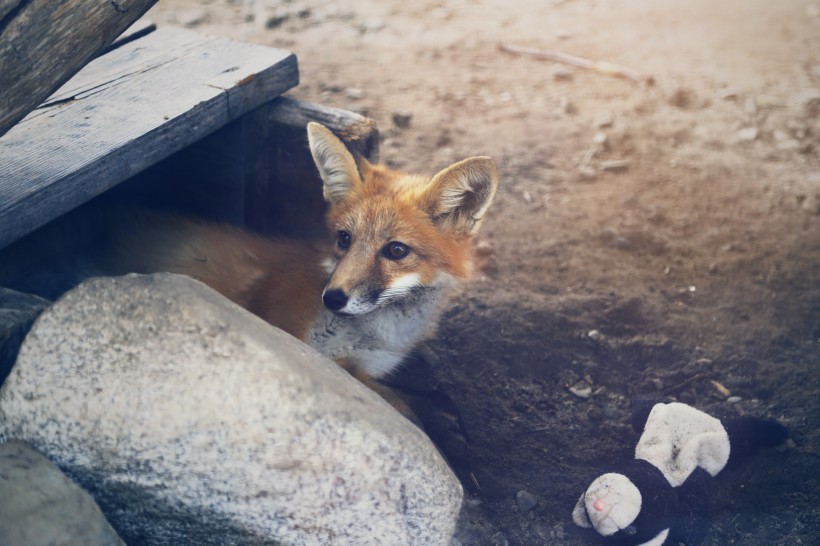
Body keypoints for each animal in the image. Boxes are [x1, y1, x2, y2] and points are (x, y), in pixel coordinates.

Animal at [0, 123, 500, 410]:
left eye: (395, 251)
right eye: (344, 239)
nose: (333, 298)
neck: (372, 335)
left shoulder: (368, 365)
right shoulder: (286, 333)